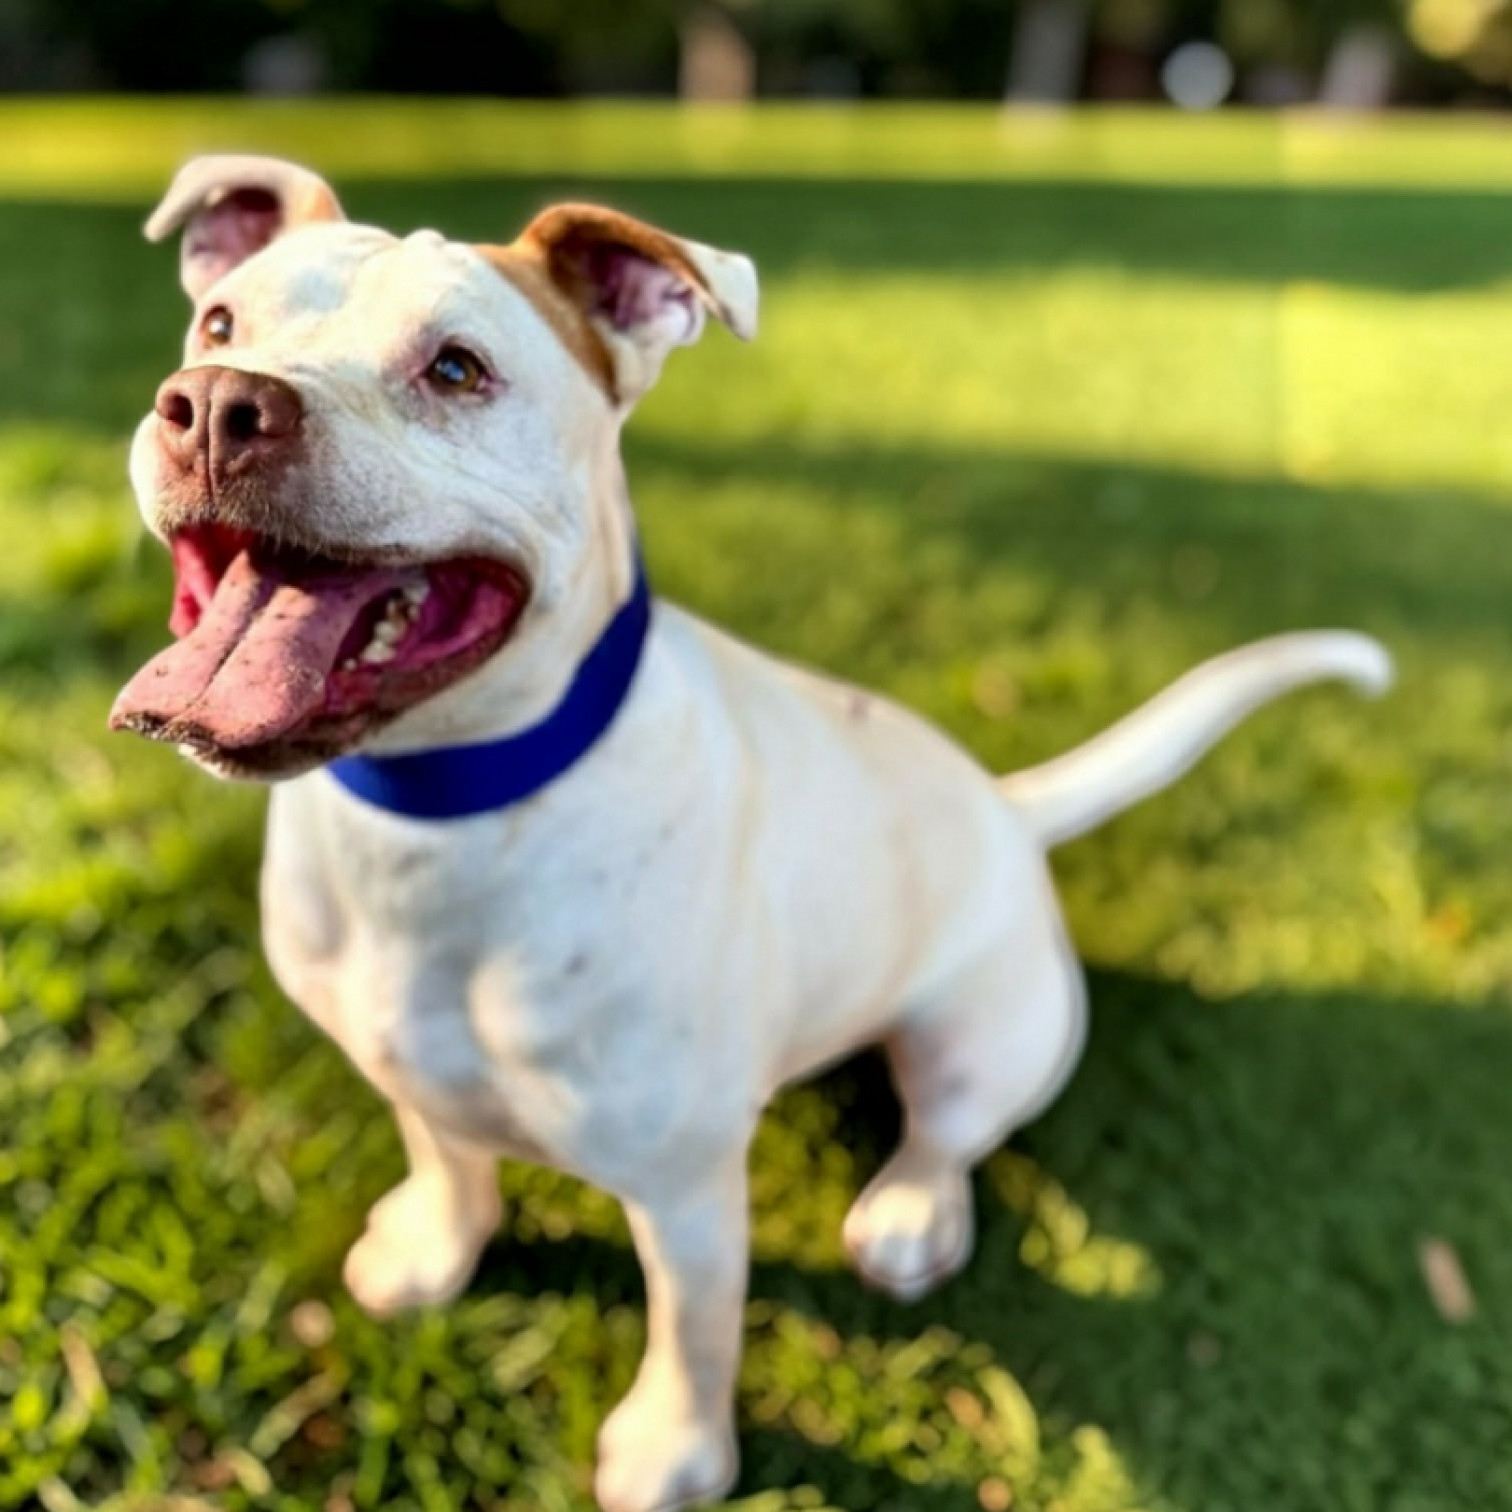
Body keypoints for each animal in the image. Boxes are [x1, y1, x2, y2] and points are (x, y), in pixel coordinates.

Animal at [112, 155, 1391, 1512]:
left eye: (455, 368)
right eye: (218, 324)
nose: (216, 406)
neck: (442, 812)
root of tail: (1005, 806)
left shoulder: (686, 1195)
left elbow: (695, 1332)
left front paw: (672, 1453)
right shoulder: (406, 1068)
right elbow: (449, 1160)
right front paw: (431, 1253)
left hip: (976, 1035)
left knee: (949, 1133)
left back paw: (910, 1213)